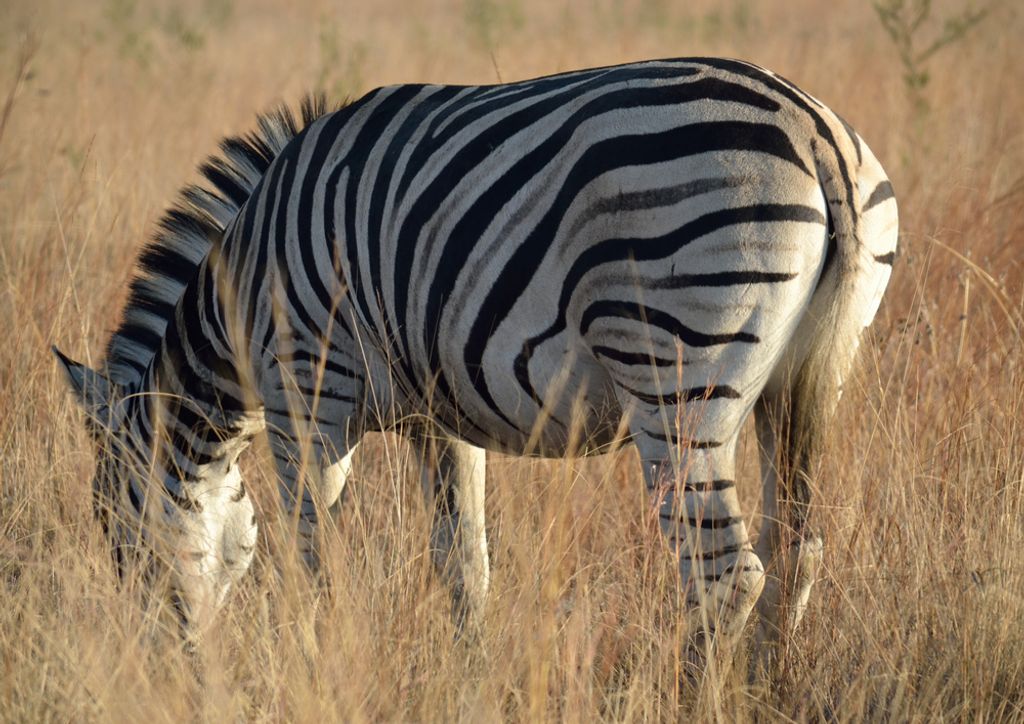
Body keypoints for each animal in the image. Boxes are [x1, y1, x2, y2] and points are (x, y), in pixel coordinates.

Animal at [54, 58, 897, 651]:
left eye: (113, 529)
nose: (164, 662)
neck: (241, 294)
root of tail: (816, 129)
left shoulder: (308, 397)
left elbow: (308, 561)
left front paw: (308, 661)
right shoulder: (442, 416)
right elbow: (464, 567)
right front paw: (470, 675)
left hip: (675, 374)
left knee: (725, 574)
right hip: (809, 379)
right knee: (797, 550)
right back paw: (769, 686)